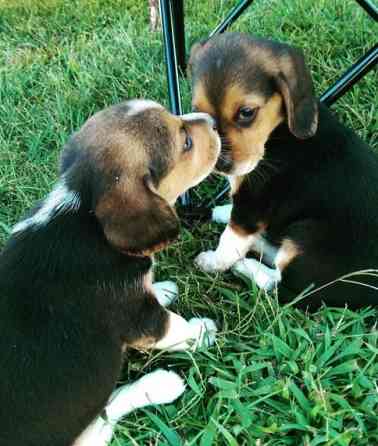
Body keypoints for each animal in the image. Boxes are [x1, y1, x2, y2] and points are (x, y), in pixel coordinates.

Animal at [0, 100, 220, 446]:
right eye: (185, 142)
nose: (213, 121)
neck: (85, 213)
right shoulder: (141, 318)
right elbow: (176, 328)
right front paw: (202, 332)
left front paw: (162, 289)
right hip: (86, 427)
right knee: (110, 410)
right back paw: (160, 384)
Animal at [190, 32, 378, 310]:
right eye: (199, 111)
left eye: (246, 112)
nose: (219, 165)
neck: (277, 131)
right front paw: (225, 212)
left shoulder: (254, 201)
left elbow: (231, 240)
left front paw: (214, 262)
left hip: (307, 234)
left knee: (283, 288)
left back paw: (244, 265)